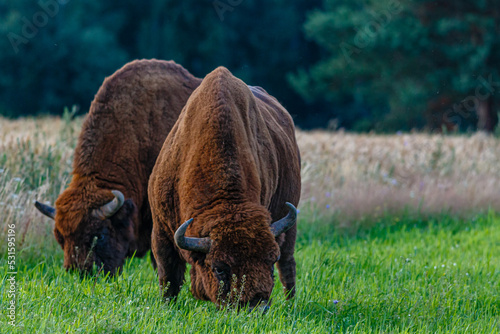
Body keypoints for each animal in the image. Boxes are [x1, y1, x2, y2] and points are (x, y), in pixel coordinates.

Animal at [148, 66, 300, 310]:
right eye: (219, 268)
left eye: (270, 260)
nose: (257, 306)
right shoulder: (161, 230)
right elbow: (168, 276)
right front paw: (166, 306)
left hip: (290, 219)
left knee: (288, 264)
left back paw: (290, 303)